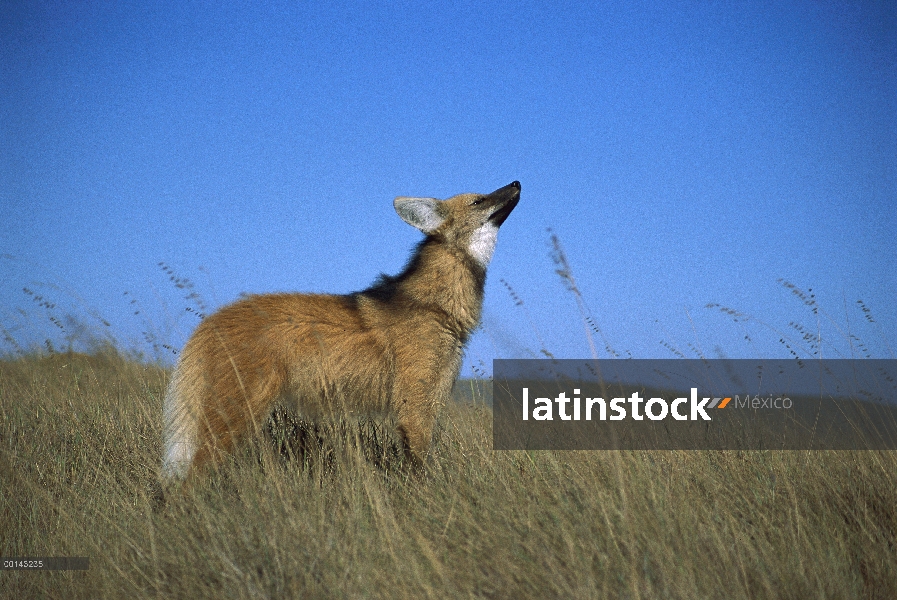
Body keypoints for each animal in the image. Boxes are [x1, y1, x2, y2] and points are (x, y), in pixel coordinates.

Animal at [164, 180, 520, 480]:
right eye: (479, 200)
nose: (516, 182)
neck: (436, 307)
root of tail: (210, 321)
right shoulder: (414, 406)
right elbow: (422, 467)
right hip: (236, 415)